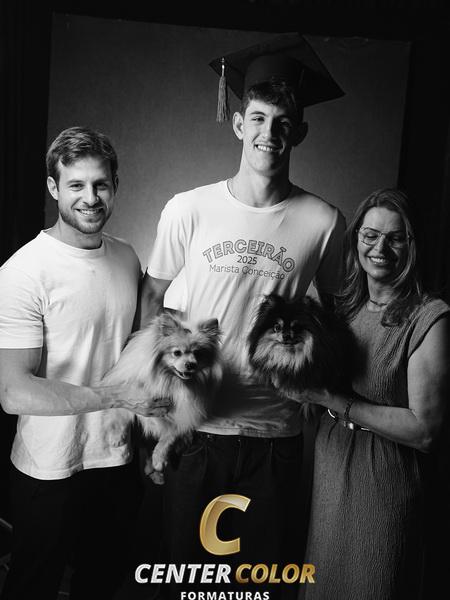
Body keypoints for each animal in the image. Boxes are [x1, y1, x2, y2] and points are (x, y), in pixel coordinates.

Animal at [102, 312, 222, 483]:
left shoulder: (182, 416)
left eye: (198, 354)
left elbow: (168, 438)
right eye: (177, 353)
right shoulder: (129, 391)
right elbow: (120, 412)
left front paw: (159, 459)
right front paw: (117, 436)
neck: (169, 381)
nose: (191, 364)